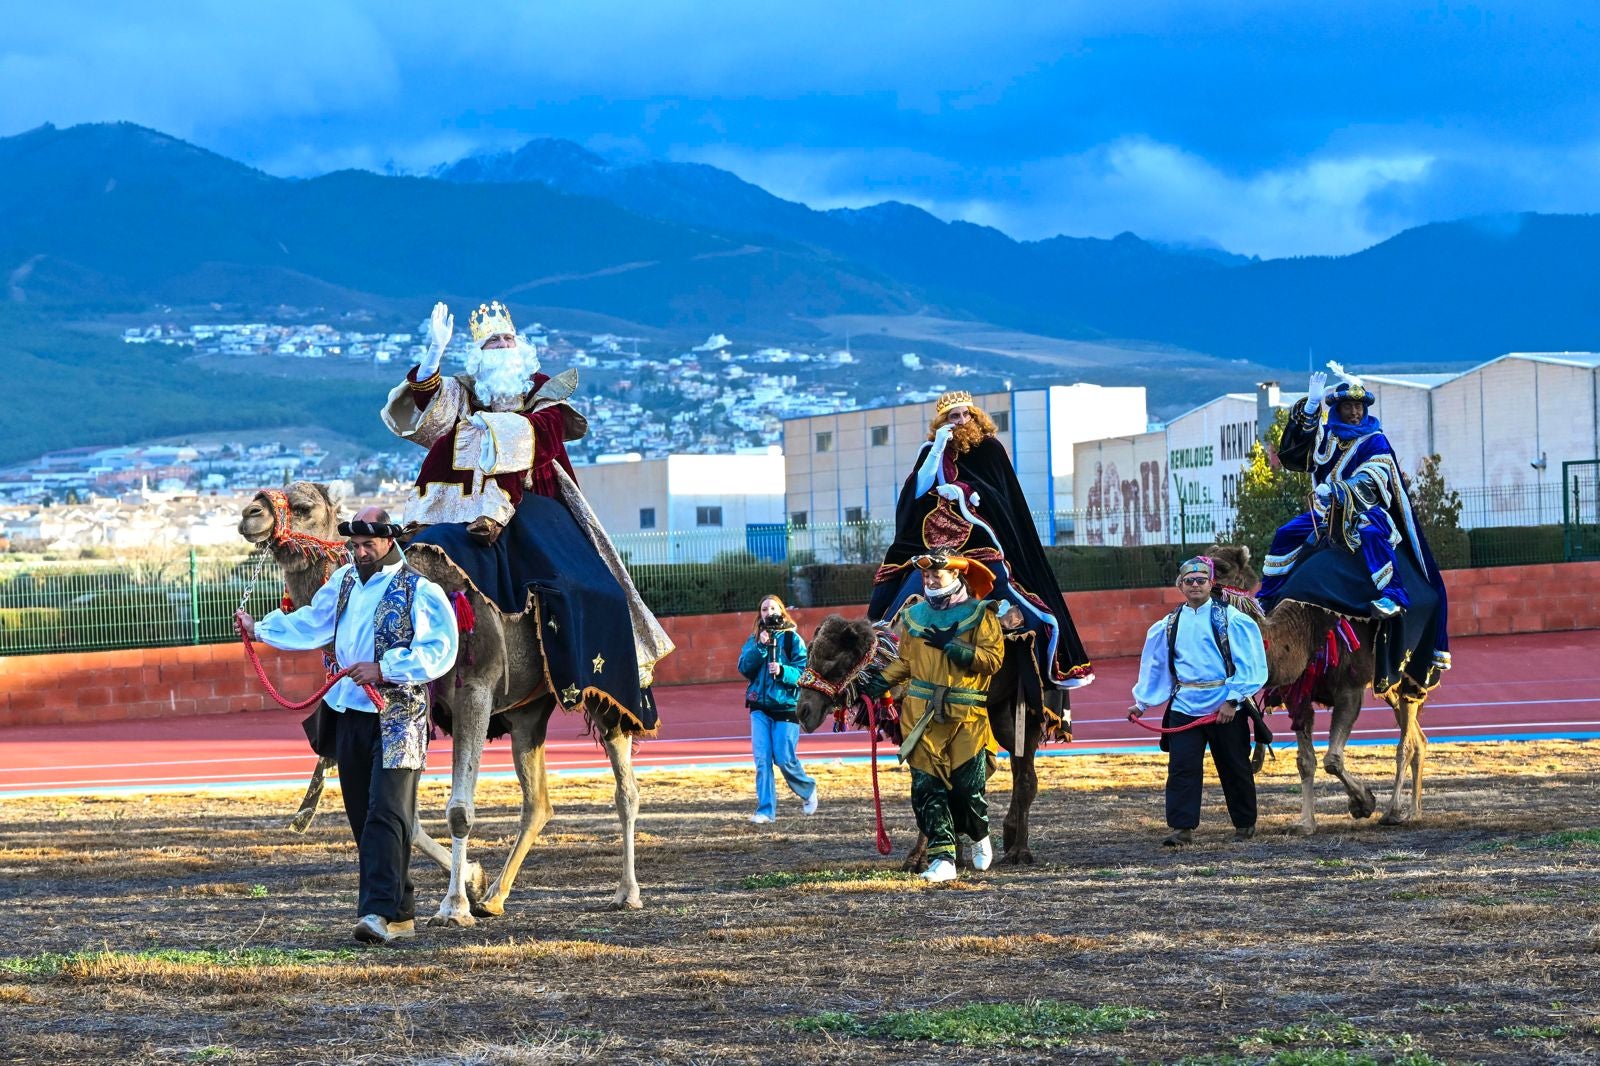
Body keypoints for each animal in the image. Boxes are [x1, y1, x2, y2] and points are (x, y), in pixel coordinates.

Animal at [235, 480, 643, 921]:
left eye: (303, 506)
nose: (250, 514)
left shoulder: (474, 692)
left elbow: (458, 810)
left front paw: (454, 905)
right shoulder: (419, 712)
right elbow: (407, 817)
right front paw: (474, 879)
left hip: (611, 685)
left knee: (625, 787)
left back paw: (627, 892)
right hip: (527, 710)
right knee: (538, 802)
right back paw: (494, 897)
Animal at [796, 611, 1049, 870]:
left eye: (832, 662)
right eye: (808, 656)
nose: (803, 711)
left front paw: (923, 857)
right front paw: (935, 855)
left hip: (1028, 705)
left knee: (1026, 776)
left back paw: (1019, 851)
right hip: (998, 710)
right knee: (1012, 766)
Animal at [1203, 541, 1433, 832]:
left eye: (1221, 567)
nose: (1188, 577)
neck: (1302, 631)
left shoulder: (1350, 688)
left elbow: (1332, 759)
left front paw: (1363, 803)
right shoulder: (1297, 695)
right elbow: (1305, 761)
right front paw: (1305, 823)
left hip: (1405, 673)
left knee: (1406, 742)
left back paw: (1394, 811)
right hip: (1387, 686)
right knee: (1418, 738)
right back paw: (1414, 810)